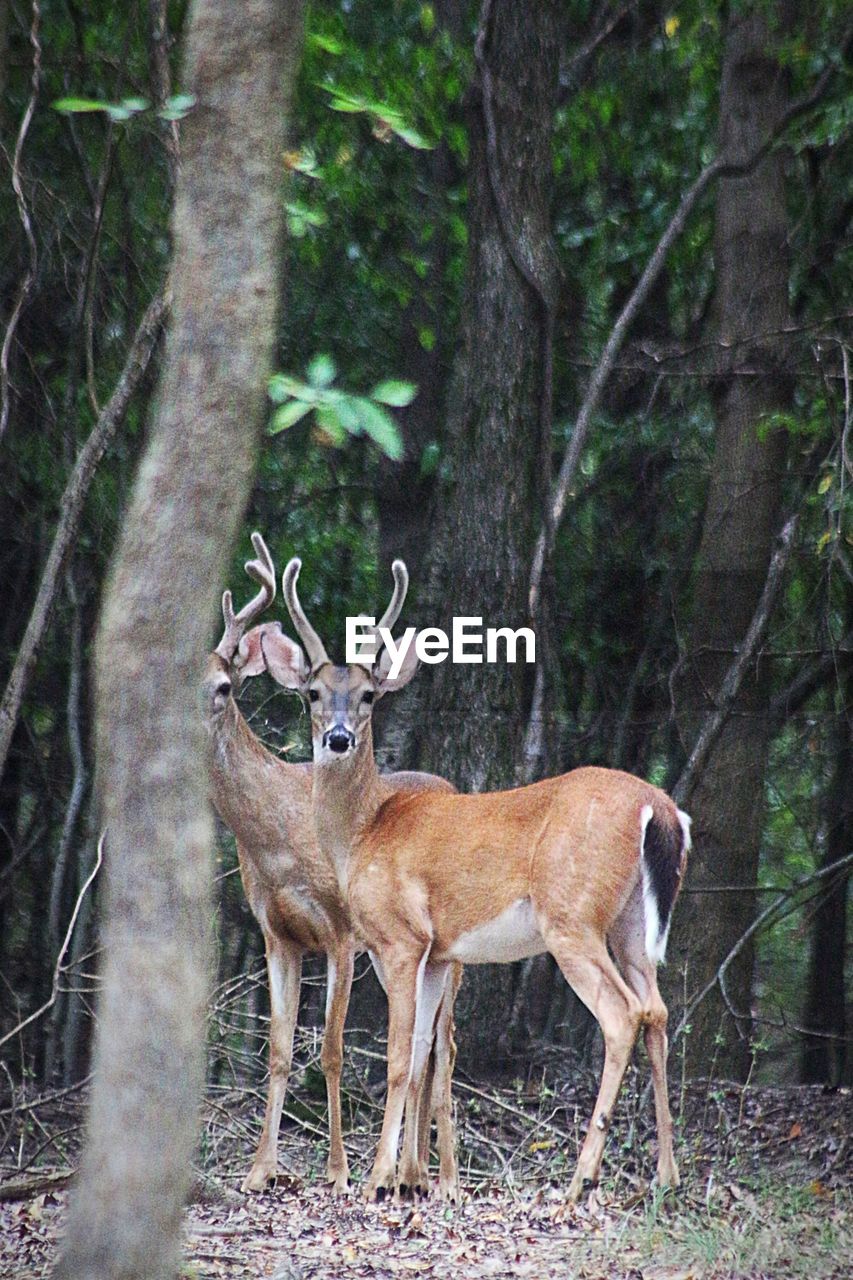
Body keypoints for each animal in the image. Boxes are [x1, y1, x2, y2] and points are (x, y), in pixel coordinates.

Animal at [201, 535, 458, 1192]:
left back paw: (436, 1175)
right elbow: (278, 1050)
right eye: (309, 694)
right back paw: (413, 1172)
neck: (278, 837)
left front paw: (340, 1172)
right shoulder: (276, 934)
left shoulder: (341, 933)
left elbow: (333, 1051)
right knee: (422, 1047)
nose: (338, 739)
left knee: (443, 1048)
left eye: (223, 686)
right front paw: (259, 1170)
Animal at [261, 558, 691, 1198]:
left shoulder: (400, 938)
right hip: (631, 921)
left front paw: (377, 1179)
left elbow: (397, 1058)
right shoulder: (439, 953)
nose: (338, 738)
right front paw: (405, 1178)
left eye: (368, 694)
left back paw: (578, 1181)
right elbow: (419, 1055)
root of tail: (658, 807)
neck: (364, 831)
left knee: (622, 1016)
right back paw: (665, 1175)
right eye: (313, 692)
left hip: (571, 914)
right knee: (657, 1011)